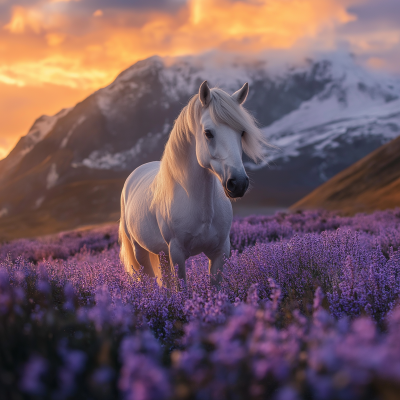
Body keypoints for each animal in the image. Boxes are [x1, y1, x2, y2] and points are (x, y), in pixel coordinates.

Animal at [119, 81, 268, 286]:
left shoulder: (220, 252)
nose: (238, 183)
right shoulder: (177, 255)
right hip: (141, 252)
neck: (201, 206)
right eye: (208, 133)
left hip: (162, 253)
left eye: (242, 132)